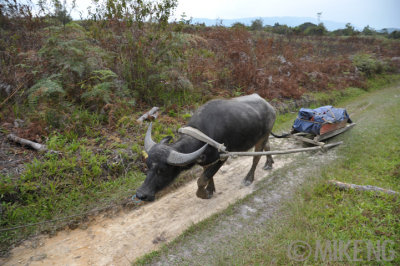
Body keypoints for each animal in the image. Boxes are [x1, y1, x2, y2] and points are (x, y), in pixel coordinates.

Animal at [136, 92, 276, 201]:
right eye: (147, 166)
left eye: (162, 170)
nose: (140, 194)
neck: (202, 135)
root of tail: (270, 107)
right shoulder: (205, 160)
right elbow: (208, 174)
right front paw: (210, 189)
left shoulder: (222, 157)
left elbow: (202, 179)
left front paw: (203, 194)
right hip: (263, 136)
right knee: (267, 147)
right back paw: (269, 163)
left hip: (262, 136)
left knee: (256, 158)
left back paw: (248, 178)